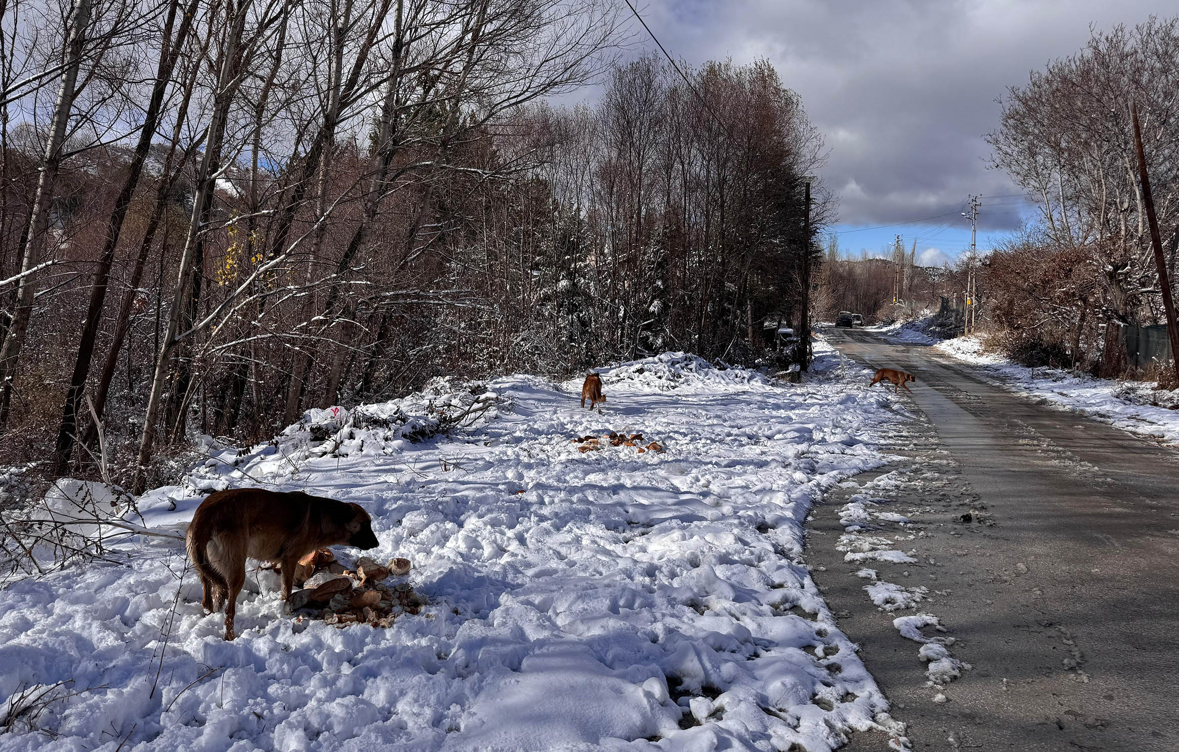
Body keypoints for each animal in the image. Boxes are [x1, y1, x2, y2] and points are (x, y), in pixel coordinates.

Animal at [185, 490, 377, 641]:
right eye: (364, 524)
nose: (377, 544)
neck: (324, 518)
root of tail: (204, 515)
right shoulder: (289, 560)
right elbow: (287, 590)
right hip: (236, 571)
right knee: (229, 612)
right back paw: (230, 637)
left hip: (206, 569)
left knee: (208, 599)